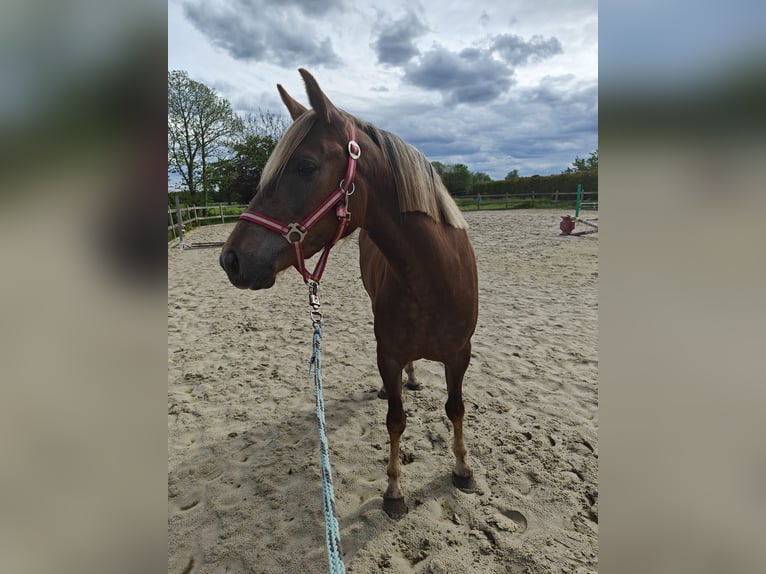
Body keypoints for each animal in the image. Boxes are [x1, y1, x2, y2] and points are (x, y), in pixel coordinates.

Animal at [219, 70, 476, 520]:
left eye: (306, 166)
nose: (230, 259)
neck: (435, 281)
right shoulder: (387, 353)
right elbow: (395, 419)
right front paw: (394, 489)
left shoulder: (460, 355)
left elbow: (455, 409)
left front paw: (462, 468)